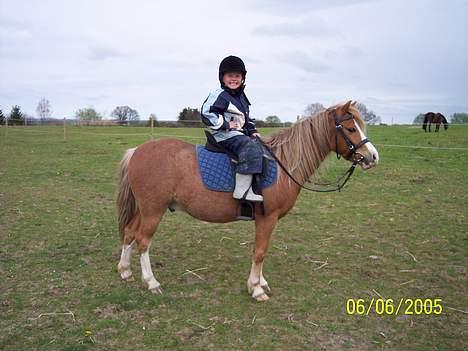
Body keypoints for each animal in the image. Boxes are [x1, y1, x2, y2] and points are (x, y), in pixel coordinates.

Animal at [117, 100, 380, 302]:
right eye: (350, 128)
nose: (373, 156)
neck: (282, 164)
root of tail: (136, 151)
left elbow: (261, 251)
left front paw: (261, 282)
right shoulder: (267, 217)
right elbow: (260, 252)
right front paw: (255, 288)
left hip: (144, 209)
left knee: (130, 233)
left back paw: (125, 272)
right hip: (153, 211)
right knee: (143, 241)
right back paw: (151, 282)